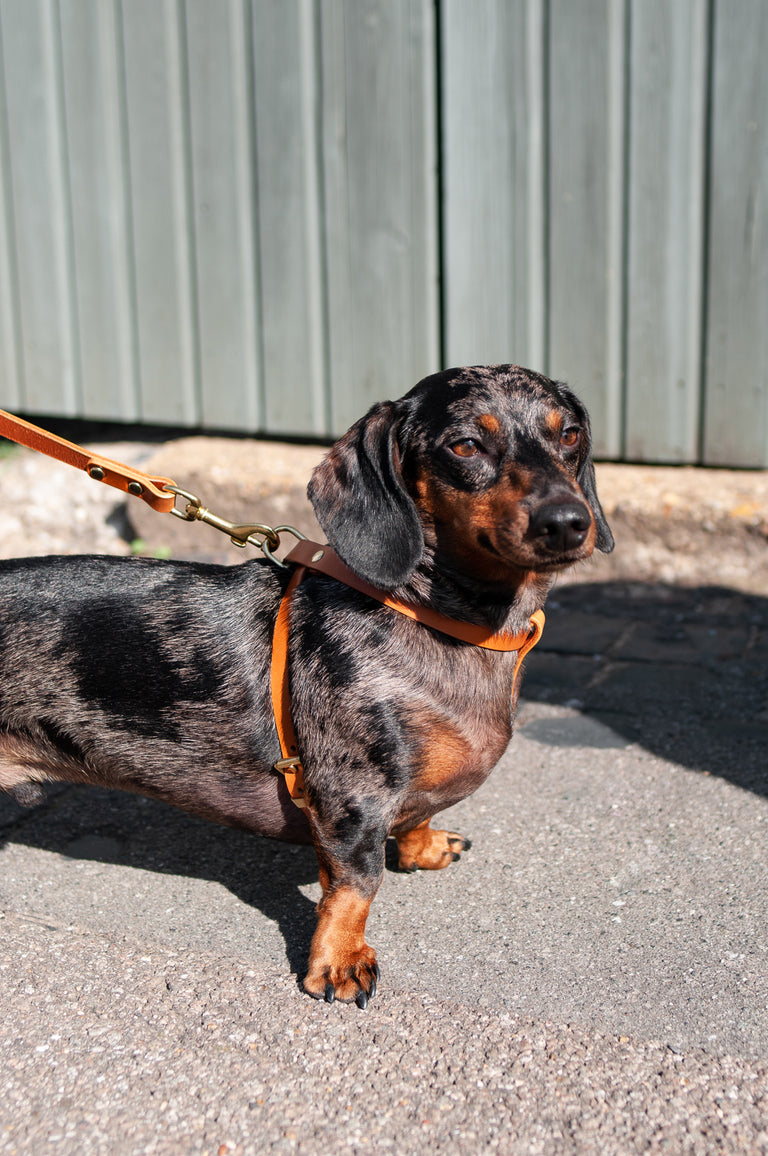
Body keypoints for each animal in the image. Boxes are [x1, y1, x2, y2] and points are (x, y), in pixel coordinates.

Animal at [0, 367, 610, 1003]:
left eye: (569, 434)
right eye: (466, 446)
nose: (568, 522)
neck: (429, 615)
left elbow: (412, 819)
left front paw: (422, 846)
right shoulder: (352, 797)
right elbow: (357, 884)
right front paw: (339, 960)